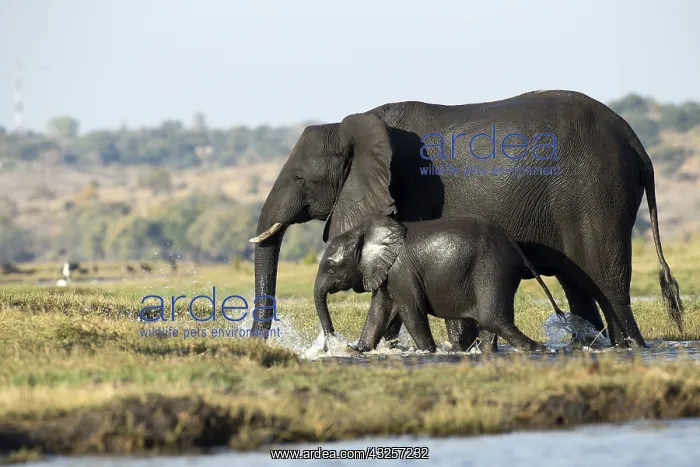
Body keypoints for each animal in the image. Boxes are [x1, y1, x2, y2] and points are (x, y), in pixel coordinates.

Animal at [313, 214, 566, 353]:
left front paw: (428, 352)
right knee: (491, 325)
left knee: (494, 320)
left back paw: (540, 350)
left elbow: (411, 311)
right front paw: (357, 351)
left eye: (332, 267)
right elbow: (379, 310)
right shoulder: (388, 274)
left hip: (492, 271)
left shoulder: (401, 271)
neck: (362, 231)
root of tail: (515, 248)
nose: (330, 345)